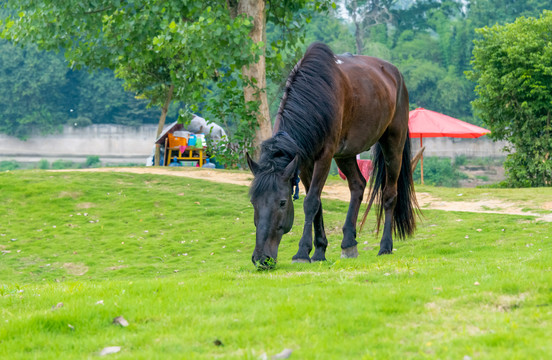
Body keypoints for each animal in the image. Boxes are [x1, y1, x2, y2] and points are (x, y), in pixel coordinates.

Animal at [247, 42, 418, 268]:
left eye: (283, 202)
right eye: (253, 202)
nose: (261, 259)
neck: (316, 96)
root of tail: (395, 74)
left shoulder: (324, 157)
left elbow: (311, 202)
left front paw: (302, 252)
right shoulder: (304, 164)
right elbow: (317, 203)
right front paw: (319, 251)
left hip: (393, 144)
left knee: (390, 195)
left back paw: (385, 246)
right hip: (346, 154)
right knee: (358, 185)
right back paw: (348, 243)